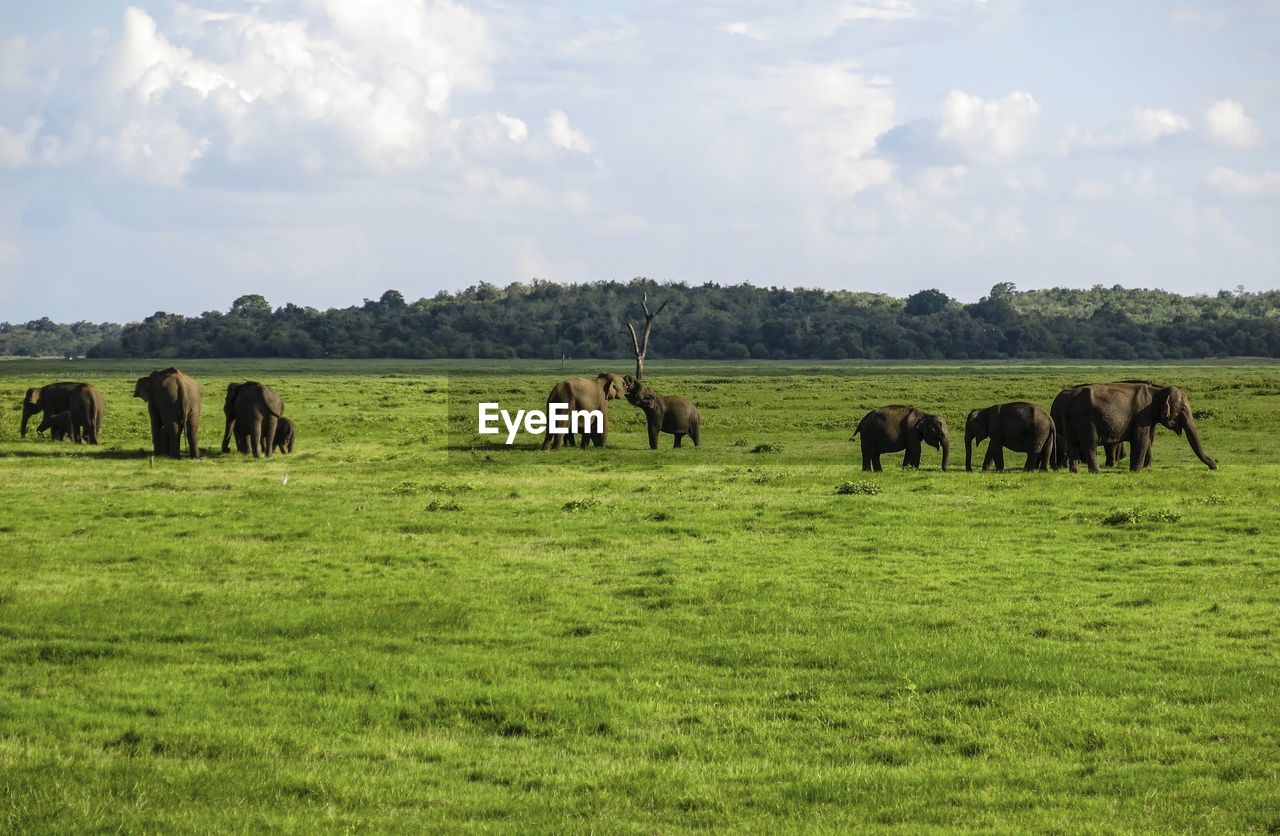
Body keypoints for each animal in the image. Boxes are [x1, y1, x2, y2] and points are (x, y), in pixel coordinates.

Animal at [1054, 381, 1213, 473]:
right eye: (1183, 409)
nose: (1214, 465)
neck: (1157, 391)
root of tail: (1065, 402)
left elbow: (1144, 440)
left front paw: (1134, 470)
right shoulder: (1142, 414)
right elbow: (1141, 440)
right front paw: (1136, 472)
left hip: (1069, 423)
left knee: (1072, 445)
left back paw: (1075, 471)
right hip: (1085, 420)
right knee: (1089, 445)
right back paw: (1095, 472)